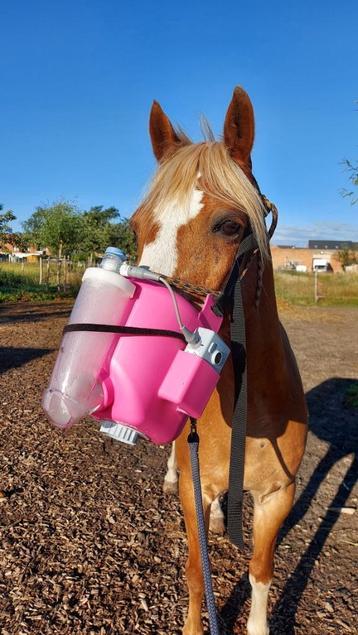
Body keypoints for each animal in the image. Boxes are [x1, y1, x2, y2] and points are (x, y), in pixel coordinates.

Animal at [131, 85, 308, 635]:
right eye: (137, 226)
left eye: (230, 226)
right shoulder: (196, 493)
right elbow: (195, 571)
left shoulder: (278, 495)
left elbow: (261, 571)